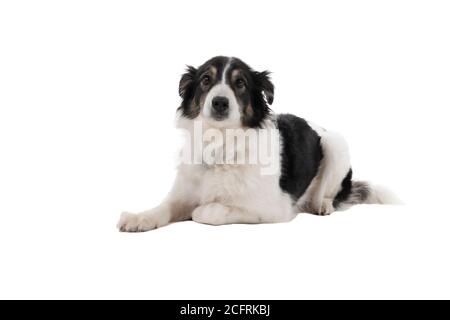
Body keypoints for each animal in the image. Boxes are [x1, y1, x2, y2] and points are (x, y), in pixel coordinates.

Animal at [117, 56, 400, 231]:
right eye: (206, 80)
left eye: (240, 83)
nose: (220, 102)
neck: (221, 145)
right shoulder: (183, 192)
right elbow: (163, 208)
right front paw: (139, 217)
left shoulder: (274, 208)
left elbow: (210, 211)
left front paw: (201, 210)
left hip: (335, 143)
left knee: (332, 193)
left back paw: (322, 204)